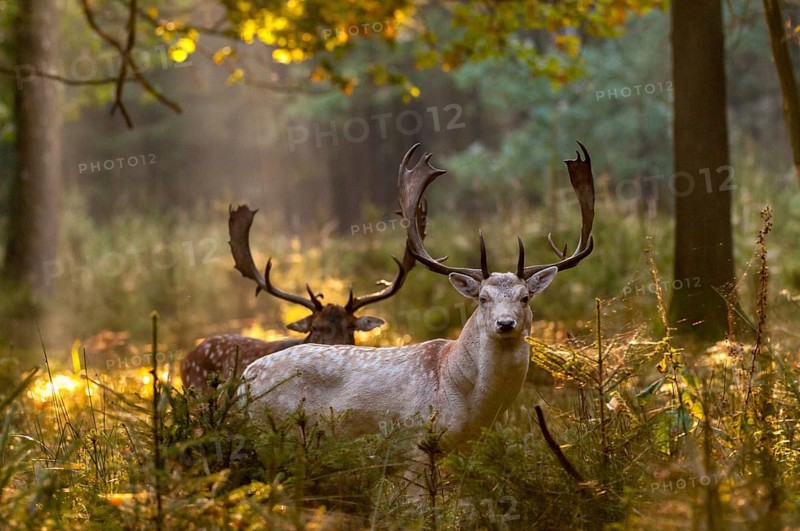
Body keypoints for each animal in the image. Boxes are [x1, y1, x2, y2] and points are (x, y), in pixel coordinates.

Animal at [241, 142, 595, 450]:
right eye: (482, 298)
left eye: (525, 297)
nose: (505, 324)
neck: (466, 403)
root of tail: (246, 378)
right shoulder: (415, 443)